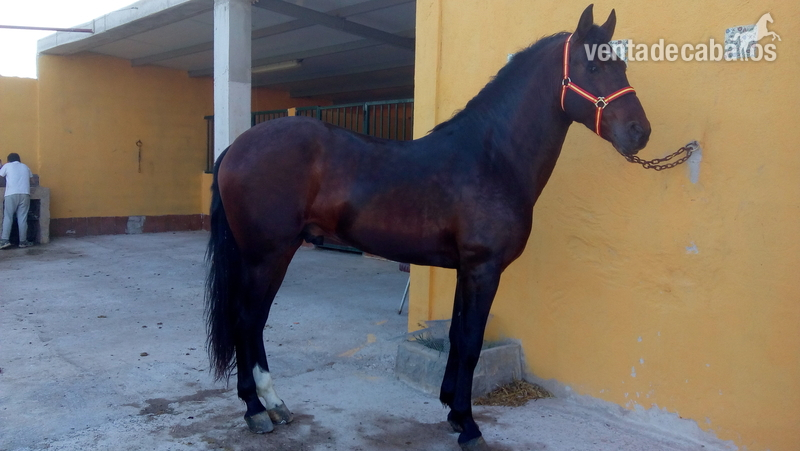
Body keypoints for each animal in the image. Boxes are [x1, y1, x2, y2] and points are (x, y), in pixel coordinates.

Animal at [205, 5, 650, 450]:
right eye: (593, 65)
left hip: (273, 254)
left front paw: (452, 410)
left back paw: (274, 405)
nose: (639, 132)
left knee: (254, 321)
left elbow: (455, 335)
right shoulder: (483, 269)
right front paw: (469, 426)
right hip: (267, 254)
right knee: (246, 319)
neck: (492, 158)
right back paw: (255, 409)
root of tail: (236, 147)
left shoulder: (464, 270)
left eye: (622, 64)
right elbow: (470, 342)